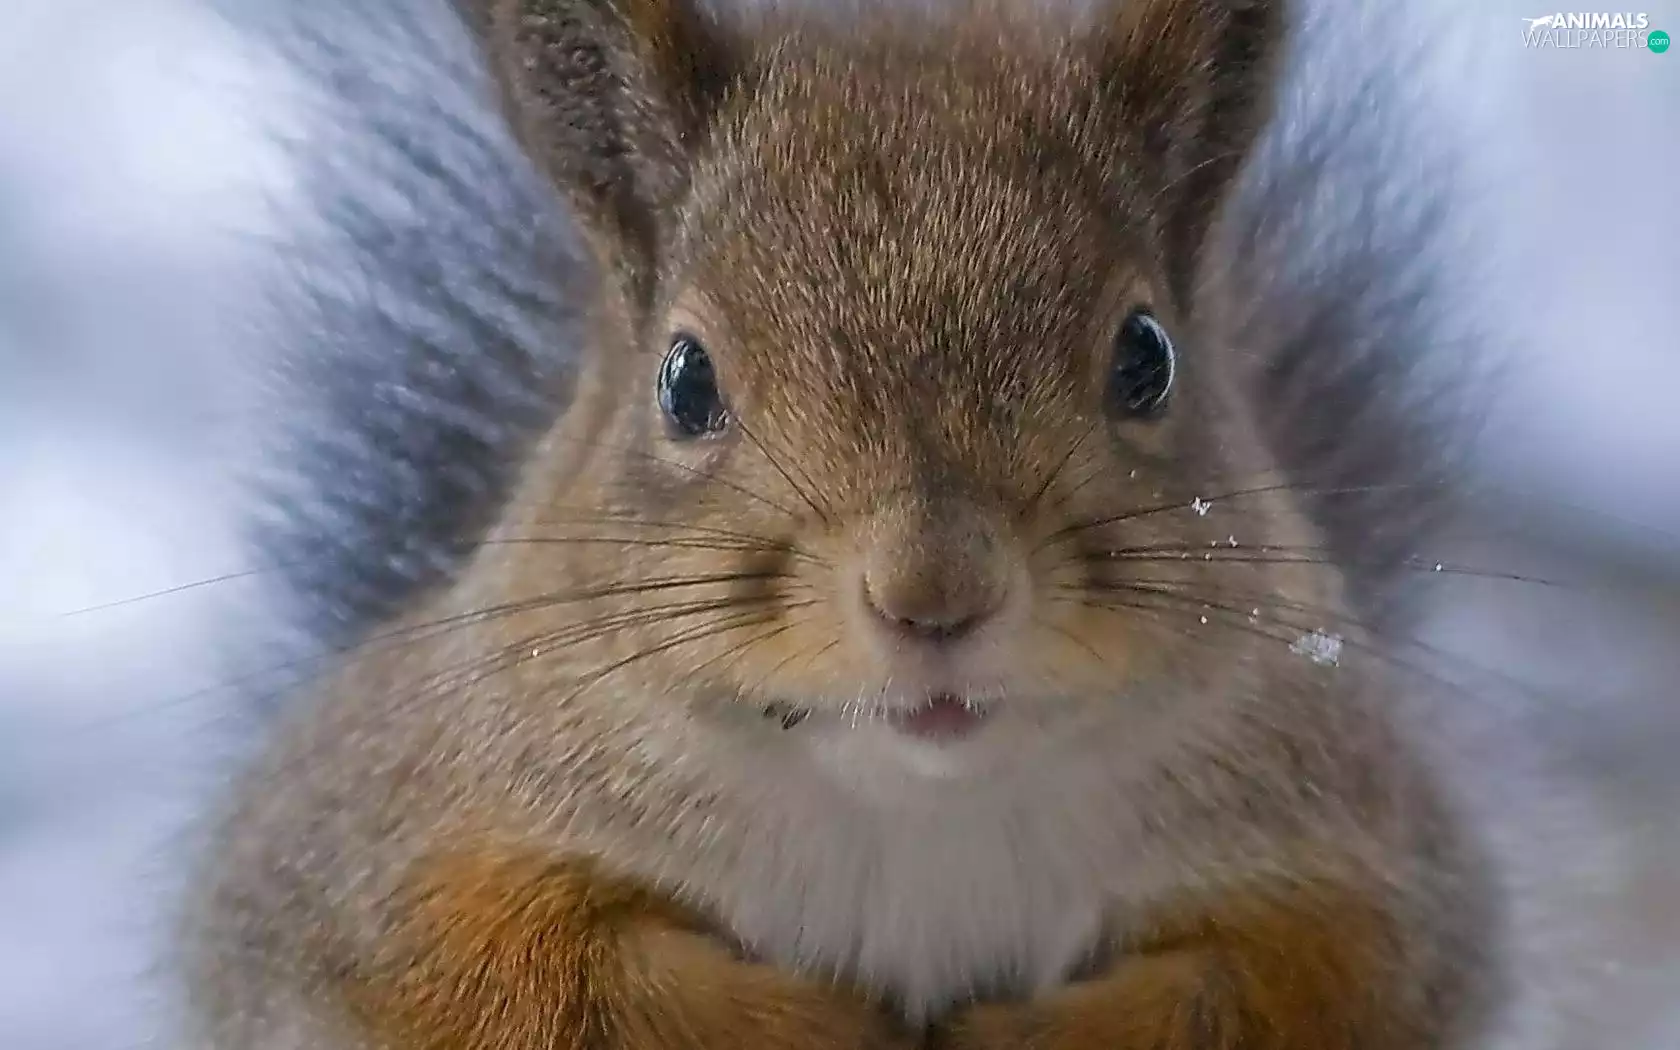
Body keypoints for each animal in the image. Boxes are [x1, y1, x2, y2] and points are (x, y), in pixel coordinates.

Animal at [179, 0, 1515, 1047]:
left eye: (1148, 358)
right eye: (684, 381)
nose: (934, 593)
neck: (917, 812)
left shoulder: (1365, 862)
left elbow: (1302, 980)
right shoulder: (394, 847)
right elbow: (523, 979)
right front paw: (803, 1026)